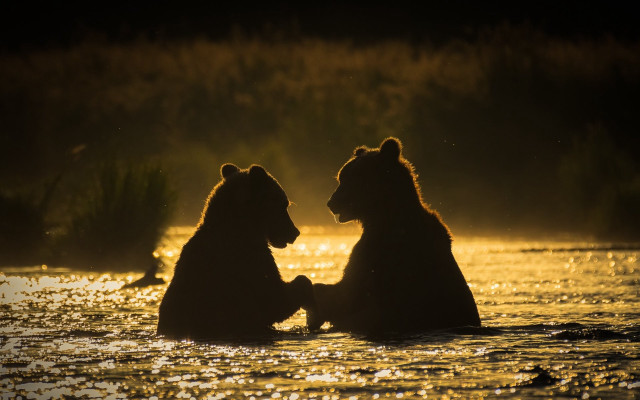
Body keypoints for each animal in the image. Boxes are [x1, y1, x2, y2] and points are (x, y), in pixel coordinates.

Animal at [308, 137, 480, 334]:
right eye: (340, 177)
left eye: (351, 178)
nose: (331, 202)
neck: (385, 215)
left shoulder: (381, 254)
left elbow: (349, 292)